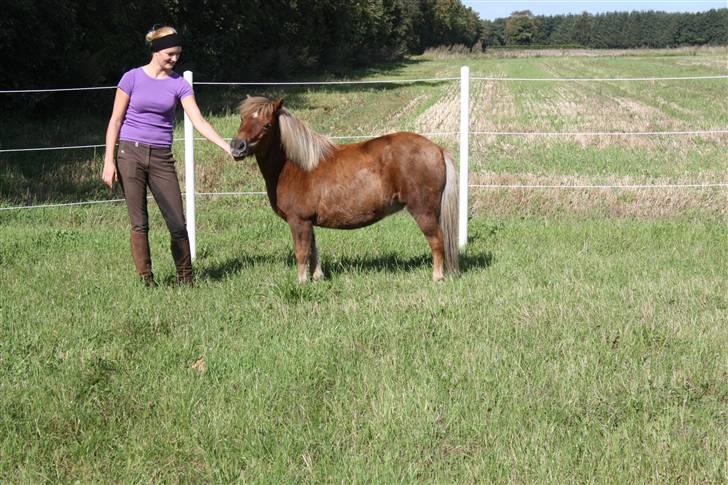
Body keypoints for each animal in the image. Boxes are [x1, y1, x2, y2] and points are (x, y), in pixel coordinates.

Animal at [230, 96, 458, 282]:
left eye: (267, 125)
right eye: (242, 119)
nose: (237, 147)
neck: (296, 166)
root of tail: (437, 149)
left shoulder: (299, 221)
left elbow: (301, 252)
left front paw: (301, 282)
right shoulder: (309, 222)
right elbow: (313, 250)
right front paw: (317, 277)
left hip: (423, 211)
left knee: (437, 241)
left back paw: (437, 277)